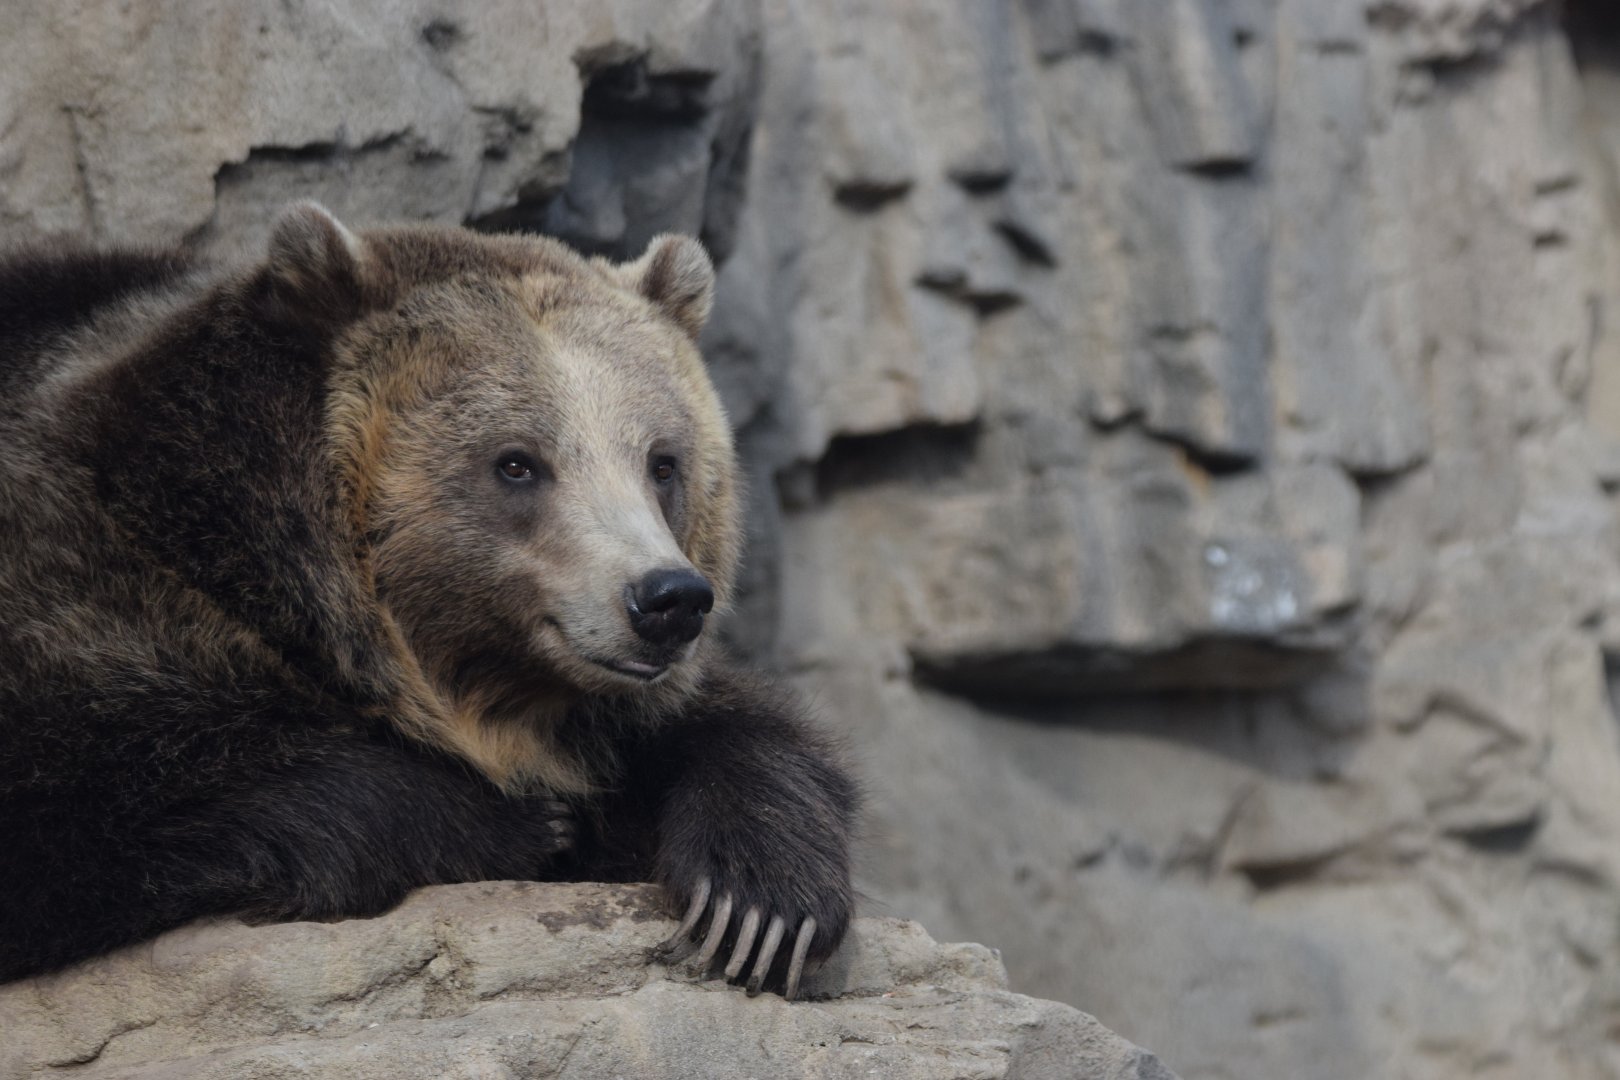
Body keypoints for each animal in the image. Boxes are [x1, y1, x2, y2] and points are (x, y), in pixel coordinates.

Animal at [0, 202, 856, 999]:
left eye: (662, 461)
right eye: (517, 463)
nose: (667, 599)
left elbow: (718, 731)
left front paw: (761, 902)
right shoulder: (82, 582)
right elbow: (85, 785)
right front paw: (521, 822)